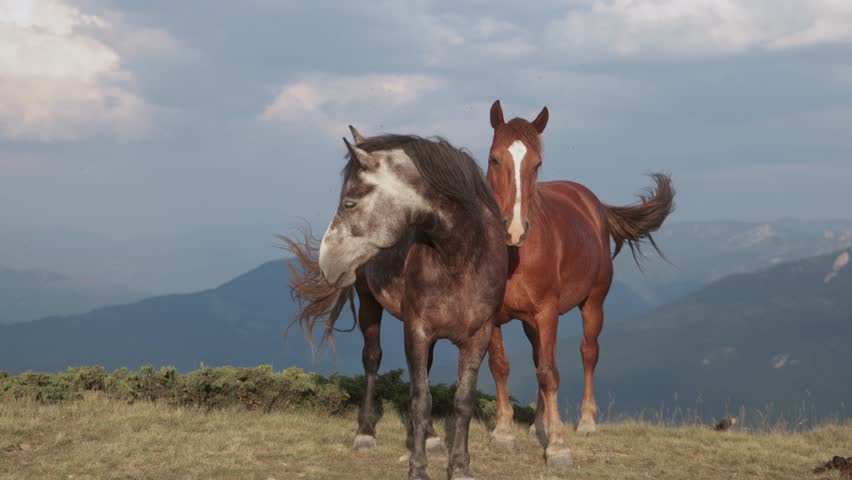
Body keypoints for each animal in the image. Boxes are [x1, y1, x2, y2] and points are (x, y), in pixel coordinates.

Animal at [282, 128, 508, 480]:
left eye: (350, 202)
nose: (327, 262)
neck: (462, 257)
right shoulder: (415, 329)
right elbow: (420, 399)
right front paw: (418, 468)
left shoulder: (478, 335)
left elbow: (463, 400)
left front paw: (459, 465)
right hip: (368, 304)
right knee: (372, 360)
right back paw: (365, 432)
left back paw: (429, 437)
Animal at [484, 100, 675, 465]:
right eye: (494, 159)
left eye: (537, 163)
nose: (514, 230)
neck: (516, 254)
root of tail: (594, 203)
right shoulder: (495, 315)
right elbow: (501, 365)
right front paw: (503, 432)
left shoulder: (547, 312)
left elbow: (550, 373)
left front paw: (557, 445)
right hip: (533, 321)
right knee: (538, 358)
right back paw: (538, 424)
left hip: (592, 303)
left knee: (588, 353)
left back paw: (586, 421)